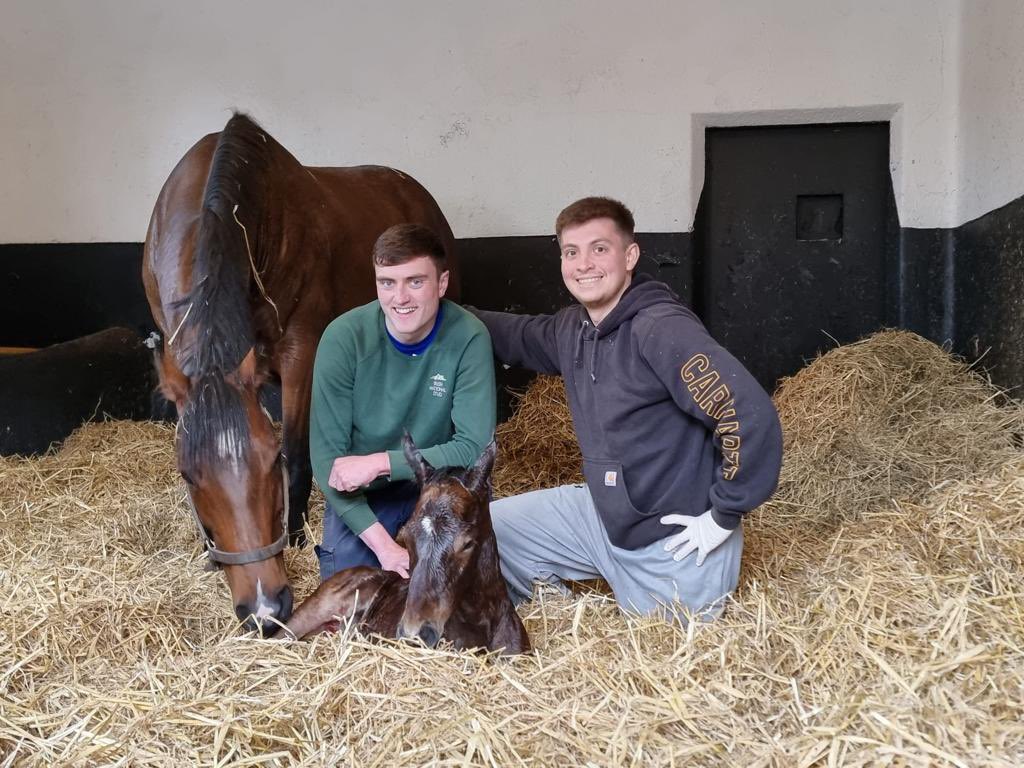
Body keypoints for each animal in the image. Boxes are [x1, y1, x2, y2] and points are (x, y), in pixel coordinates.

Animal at [142, 113, 457, 633]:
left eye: (269, 462)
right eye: (188, 474)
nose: (264, 609)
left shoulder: (302, 352)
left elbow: (297, 450)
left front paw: (293, 533)